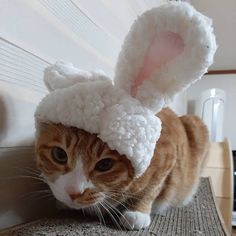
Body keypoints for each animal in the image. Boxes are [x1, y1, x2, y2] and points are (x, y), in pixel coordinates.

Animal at [34, 108, 208, 230]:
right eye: (59, 154)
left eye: (105, 164)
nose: (74, 193)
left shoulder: (168, 154)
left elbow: (151, 188)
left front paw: (138, 212)